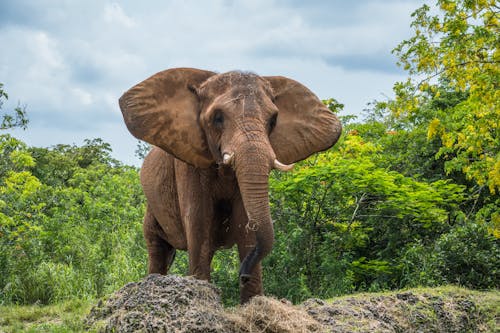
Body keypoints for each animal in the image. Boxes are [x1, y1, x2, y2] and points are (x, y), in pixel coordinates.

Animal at [119, 67, 342, 300]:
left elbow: (246, 224)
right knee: (158, 247)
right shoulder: (188, 164)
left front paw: (253, 301)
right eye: (218, 118)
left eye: (273, 120)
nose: (243, 274)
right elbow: (198, 223)